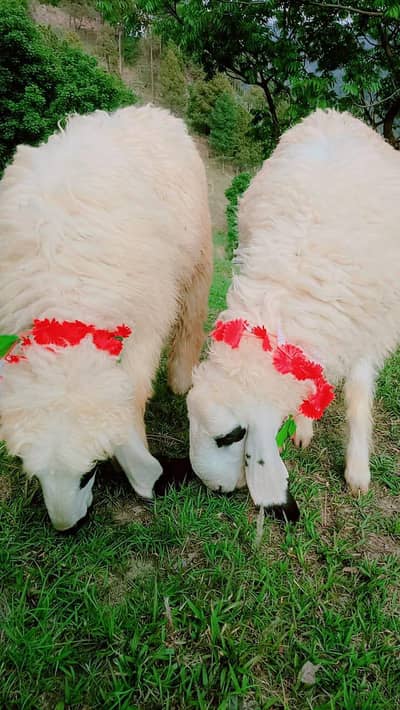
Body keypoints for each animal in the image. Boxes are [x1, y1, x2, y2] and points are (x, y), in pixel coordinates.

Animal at [0, 104, 212, 530]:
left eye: (89, 473)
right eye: (37, 476)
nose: (67, 527)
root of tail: (150, 110)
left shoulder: (145, 326)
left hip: (197, 257)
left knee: (191, 319)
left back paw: (181, 378)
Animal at [187, 109, 400, 518]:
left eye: (232, 436)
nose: (214, 489)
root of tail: (331, 113)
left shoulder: (369, 326)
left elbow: (358, 397)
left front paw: (357, 471)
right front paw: (301, 428)